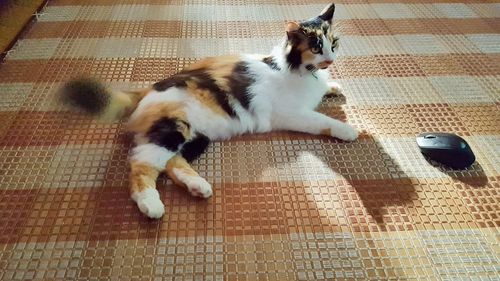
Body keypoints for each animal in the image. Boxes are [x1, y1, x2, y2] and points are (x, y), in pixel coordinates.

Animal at [61, 3, 360, 219]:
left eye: (333, 44)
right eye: (316, 48)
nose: (330, 59)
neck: (294, 70)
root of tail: (145, 91)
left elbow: (326, 90)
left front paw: (333, 86)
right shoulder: (293, 114)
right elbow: (323, 120)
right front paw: (349, 130)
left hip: (194, 138)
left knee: (170, 163)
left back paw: (198, 187)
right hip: (173, 129)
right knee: (141, 165)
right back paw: (151, 206)